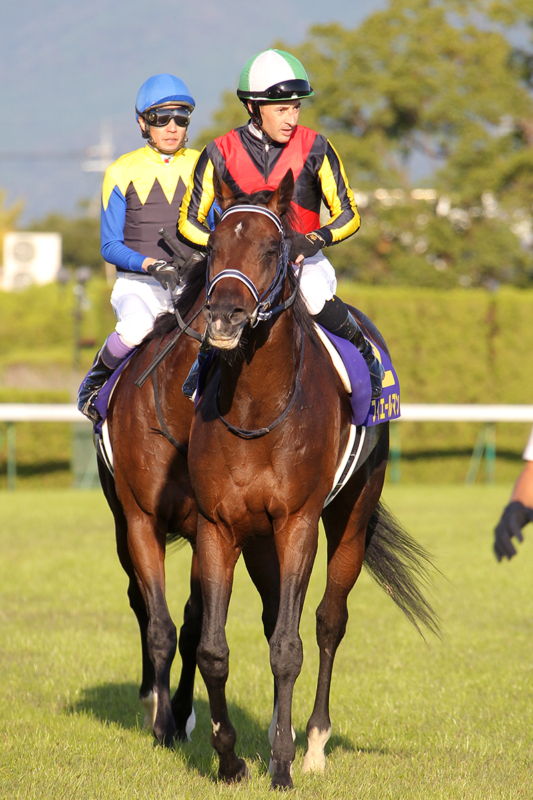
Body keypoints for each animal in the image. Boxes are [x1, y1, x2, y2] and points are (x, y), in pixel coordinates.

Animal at [187, 172, 436, 792]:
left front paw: (281, 764)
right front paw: (229, 760)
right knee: (277, 614)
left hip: (352, 514)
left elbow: (288, 647)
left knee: (327, 621)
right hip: (258, 541)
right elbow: (214, 650)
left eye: (272, 249)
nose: (223, 318)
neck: (256, 408)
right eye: (213, 247)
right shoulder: (217, 527)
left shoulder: (297, 523)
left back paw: (315, 742)